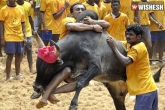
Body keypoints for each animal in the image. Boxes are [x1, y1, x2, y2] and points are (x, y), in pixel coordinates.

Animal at [32, 12, 164, 109]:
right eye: (37, 65)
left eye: (49, 68)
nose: (36, 87)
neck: (78, 46)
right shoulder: (76, 71)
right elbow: (76, 81)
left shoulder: (96, 67)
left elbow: (80, 83)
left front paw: (73, 104)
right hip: (117, 94)